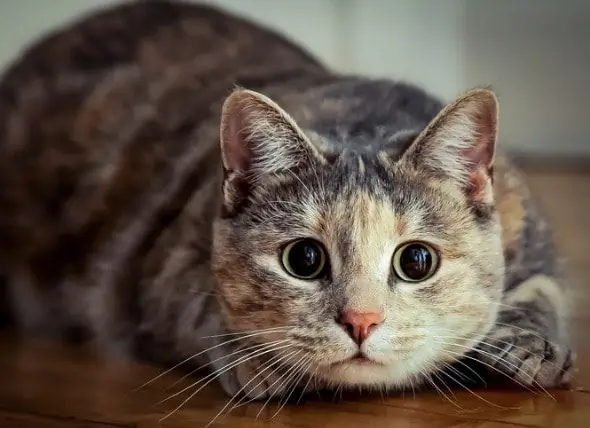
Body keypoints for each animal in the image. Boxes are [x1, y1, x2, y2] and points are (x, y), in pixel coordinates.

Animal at [0, 0, 572, 402]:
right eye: (304, 259)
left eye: (416, 261)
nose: (361, 321)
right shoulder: (161, 268)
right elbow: (201, 311)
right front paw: (263, 362)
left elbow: (544, 290)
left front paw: (531, 346)